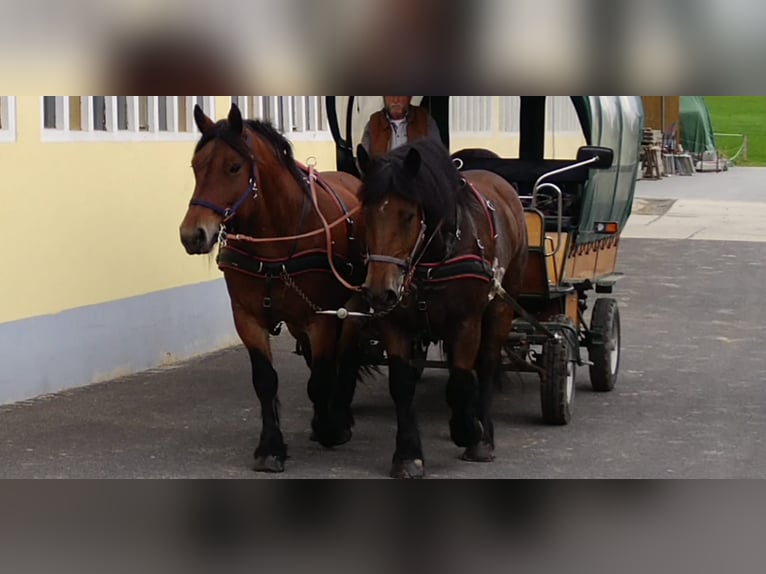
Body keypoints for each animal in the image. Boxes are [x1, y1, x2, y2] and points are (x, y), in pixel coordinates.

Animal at [183, 106, 368, 474]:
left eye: (233, 166)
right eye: (196, 166)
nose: (192, 234)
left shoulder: (321, 318)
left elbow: (321, 378)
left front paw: (328, 428)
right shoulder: (247, 317)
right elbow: (265, 380)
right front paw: (270, 447)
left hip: (353, 307)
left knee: (346, 357)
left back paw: (340, 417)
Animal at [358, 141, 528, 482]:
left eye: (409, 216)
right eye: (365, 213)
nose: (379, 291)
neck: (432, 259)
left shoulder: (467, 323)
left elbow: (461, 382)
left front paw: (468, 431)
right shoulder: (394, 323)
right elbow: (402, 383)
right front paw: (408, 455)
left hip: (501, 306)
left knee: (487, 363)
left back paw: (483, 435)